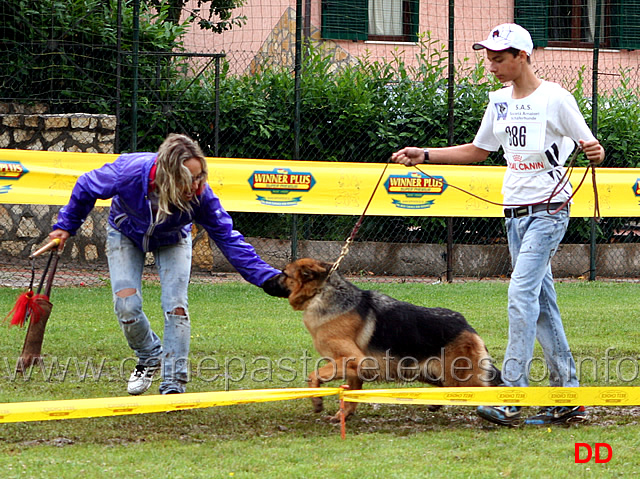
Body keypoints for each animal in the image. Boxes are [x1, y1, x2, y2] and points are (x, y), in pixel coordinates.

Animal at [278, 258, 502, 420]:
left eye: (284, 273)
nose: (271, 277)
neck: (321, 293)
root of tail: (467, 326)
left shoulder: (353, 359)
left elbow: (313, 375)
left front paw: (317, 400)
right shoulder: (354, 369)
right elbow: (351, 396)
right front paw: (344, 415)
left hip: (462, 377)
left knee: (493, 389)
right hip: (431, 373)